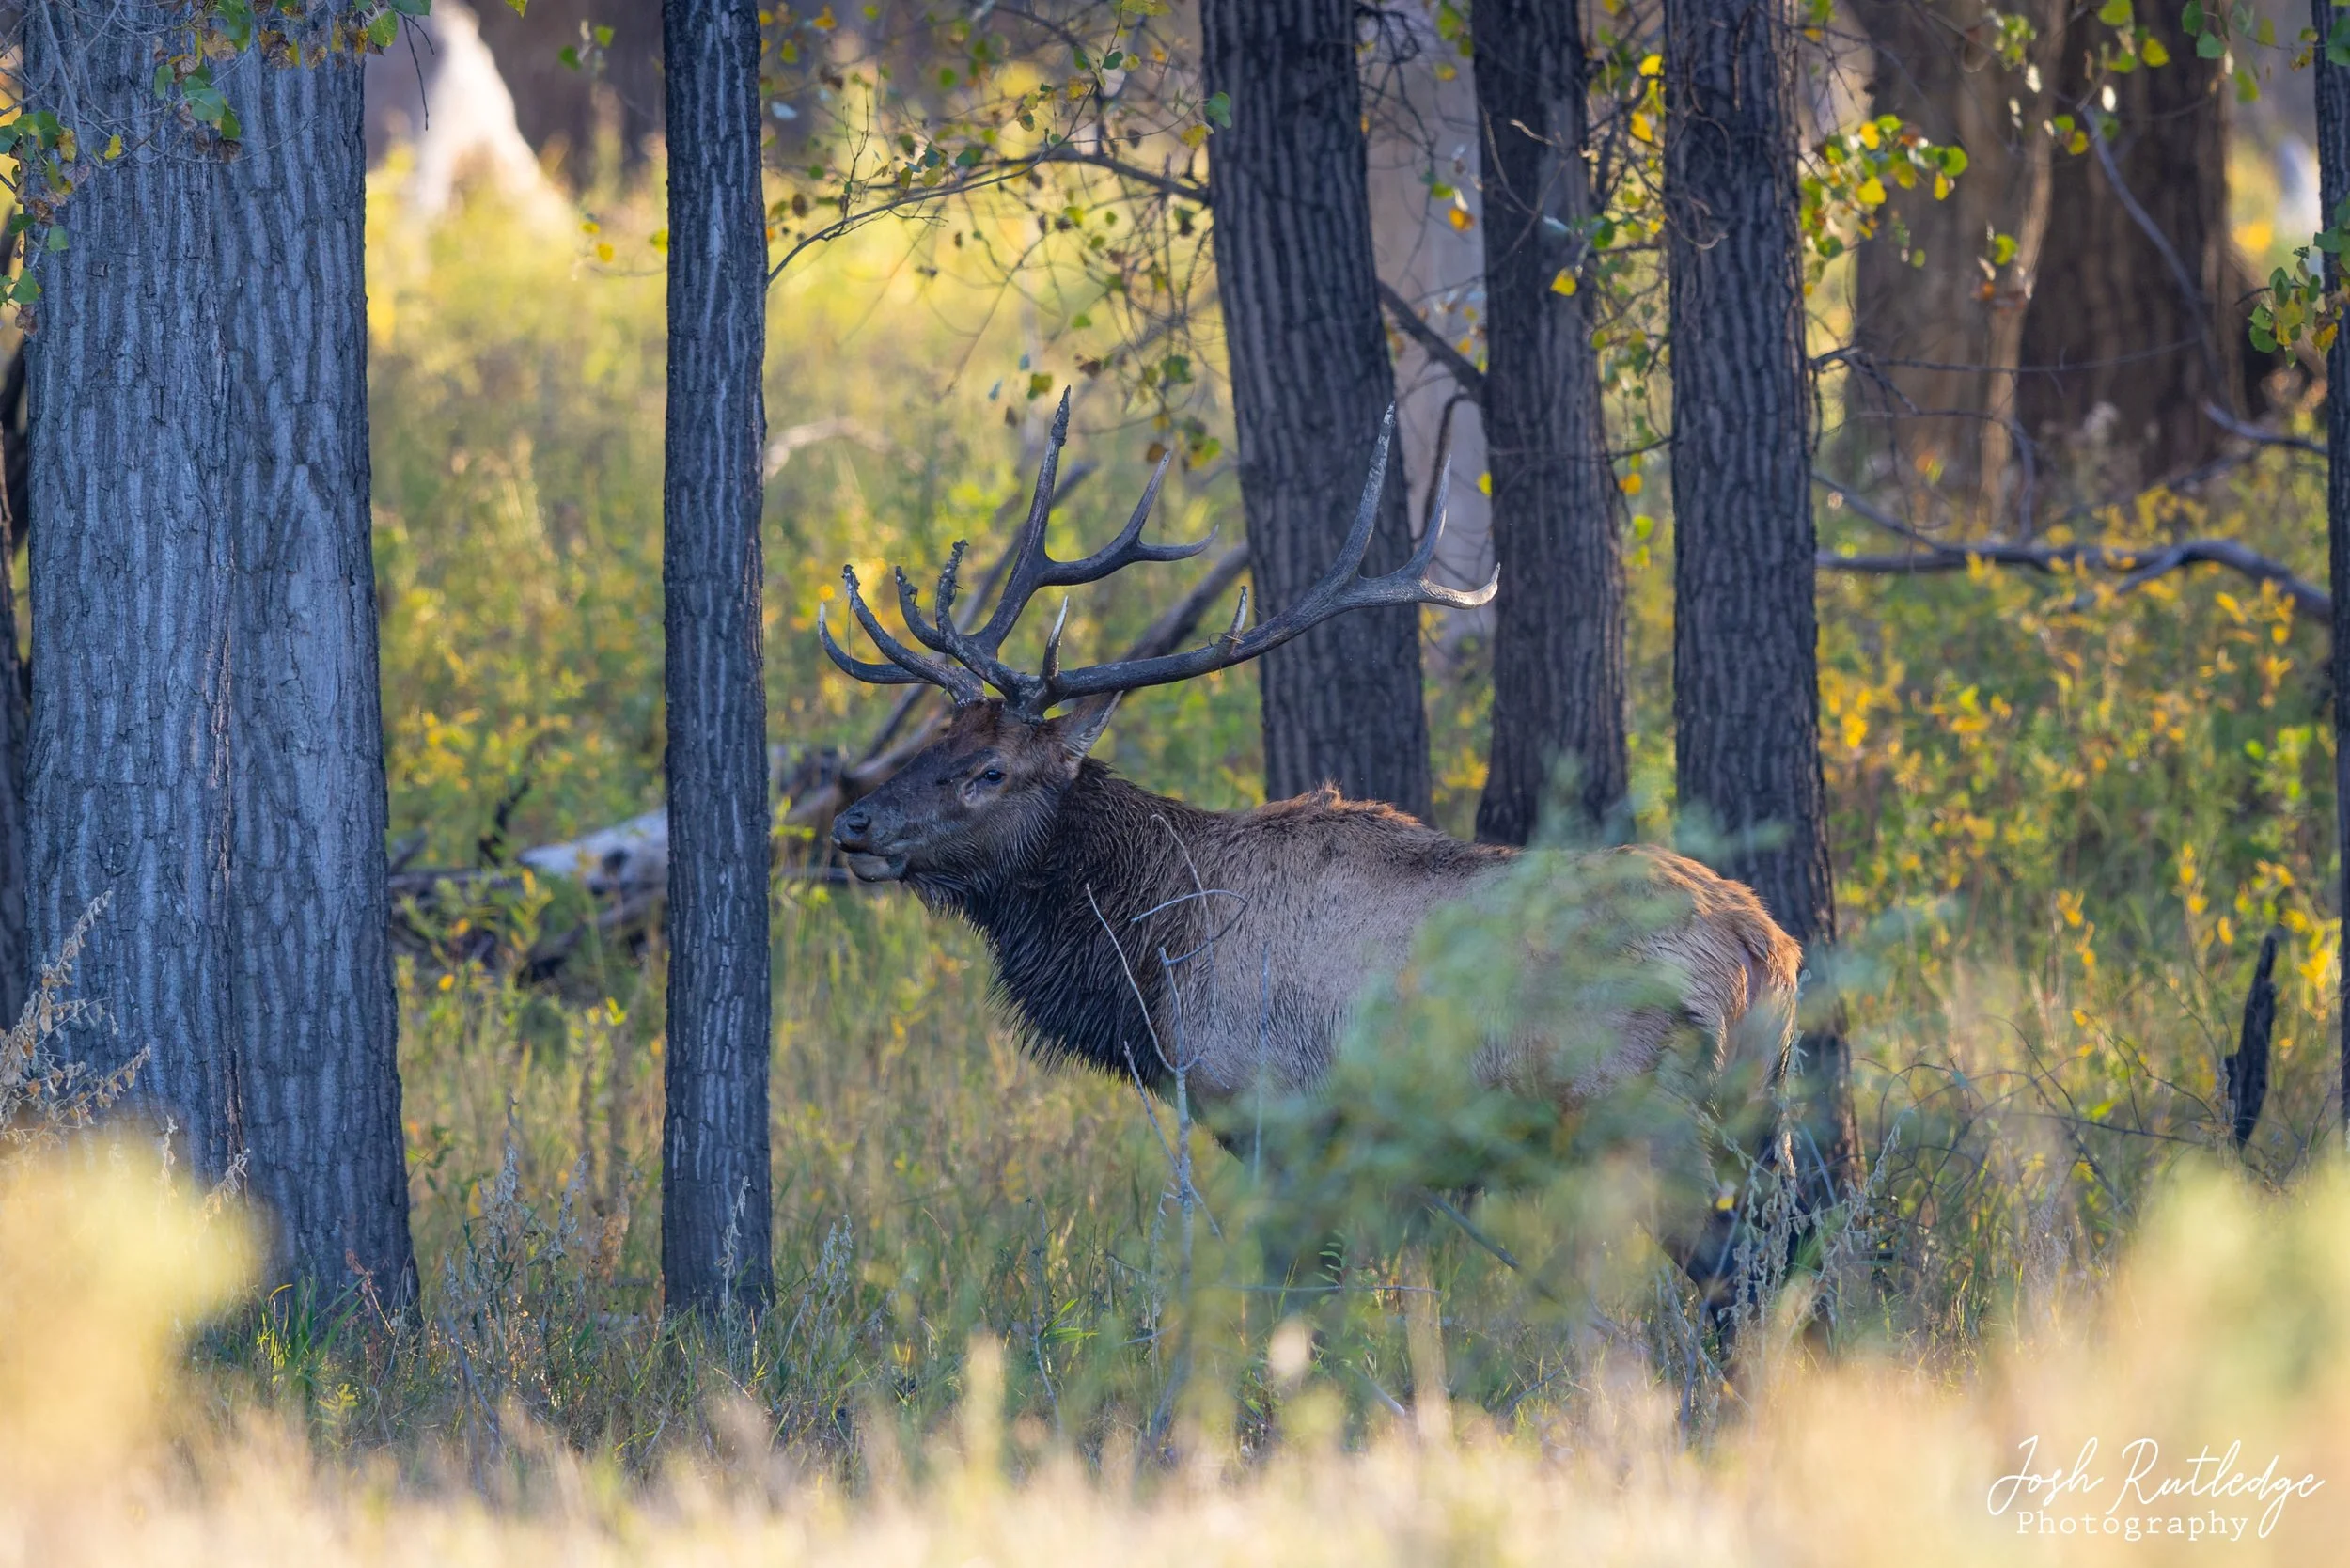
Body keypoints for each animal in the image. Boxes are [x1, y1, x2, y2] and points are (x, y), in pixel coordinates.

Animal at [819, 397, 1803, 1289]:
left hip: (1647, 1115)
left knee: (1732, 1276)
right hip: (1763, 1121)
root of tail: (1766, 949)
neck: (1154, 961)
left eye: (989, 770)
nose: (851, 825)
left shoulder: (1286, 1120)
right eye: (934, 740)